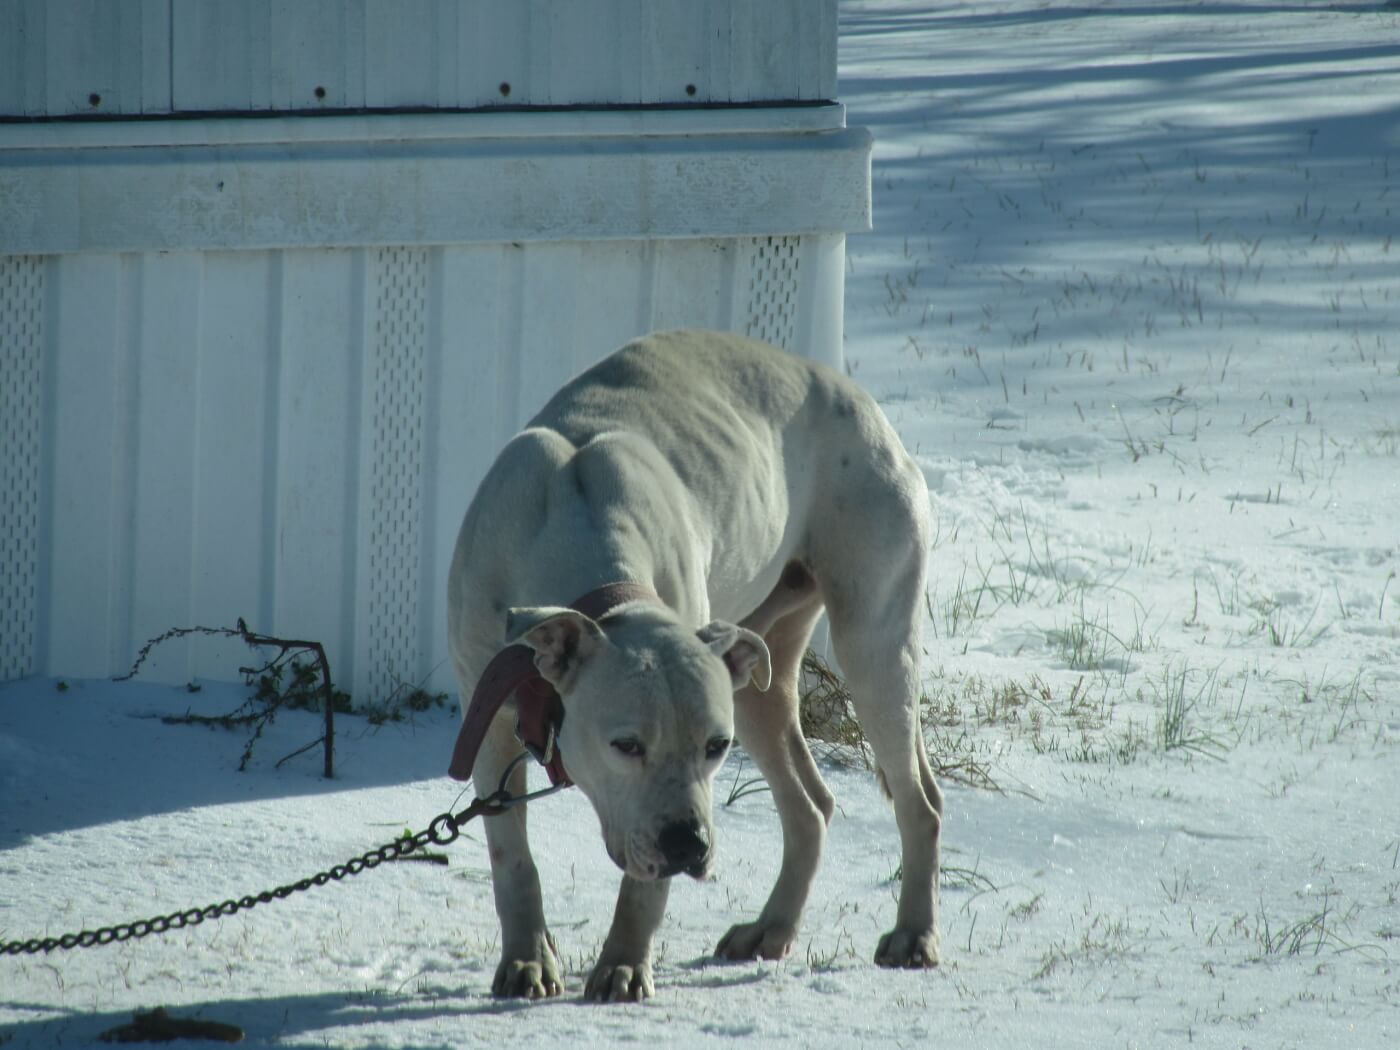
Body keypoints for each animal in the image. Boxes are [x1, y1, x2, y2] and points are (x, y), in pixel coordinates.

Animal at [448, 329, 940, 1002]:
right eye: (625, 745)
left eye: (714, 747)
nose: (687, 843)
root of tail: (866, 405)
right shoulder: (490, 724)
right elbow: (512, 858)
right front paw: (527, 959)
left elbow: (642, 891)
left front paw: (623, 965)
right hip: (757, 679)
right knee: (810, 806)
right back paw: (771, 928)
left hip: (873, 647)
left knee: (918, 804)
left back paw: (913, 934)